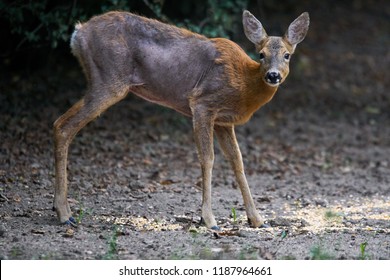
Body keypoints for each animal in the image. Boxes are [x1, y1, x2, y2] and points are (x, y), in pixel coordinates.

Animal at [54, 10, 310, 230]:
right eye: (261, 54)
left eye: (287, 55)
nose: (273, 75)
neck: (244, 84)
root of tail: (78, 33)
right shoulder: (203, 104)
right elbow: (207, 158)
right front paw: (209, 219)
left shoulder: (224, 122)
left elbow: (237, 162)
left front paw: (257, 220)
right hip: (109, 79)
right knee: (63, 125)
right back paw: (65, 214)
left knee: (60, 124)